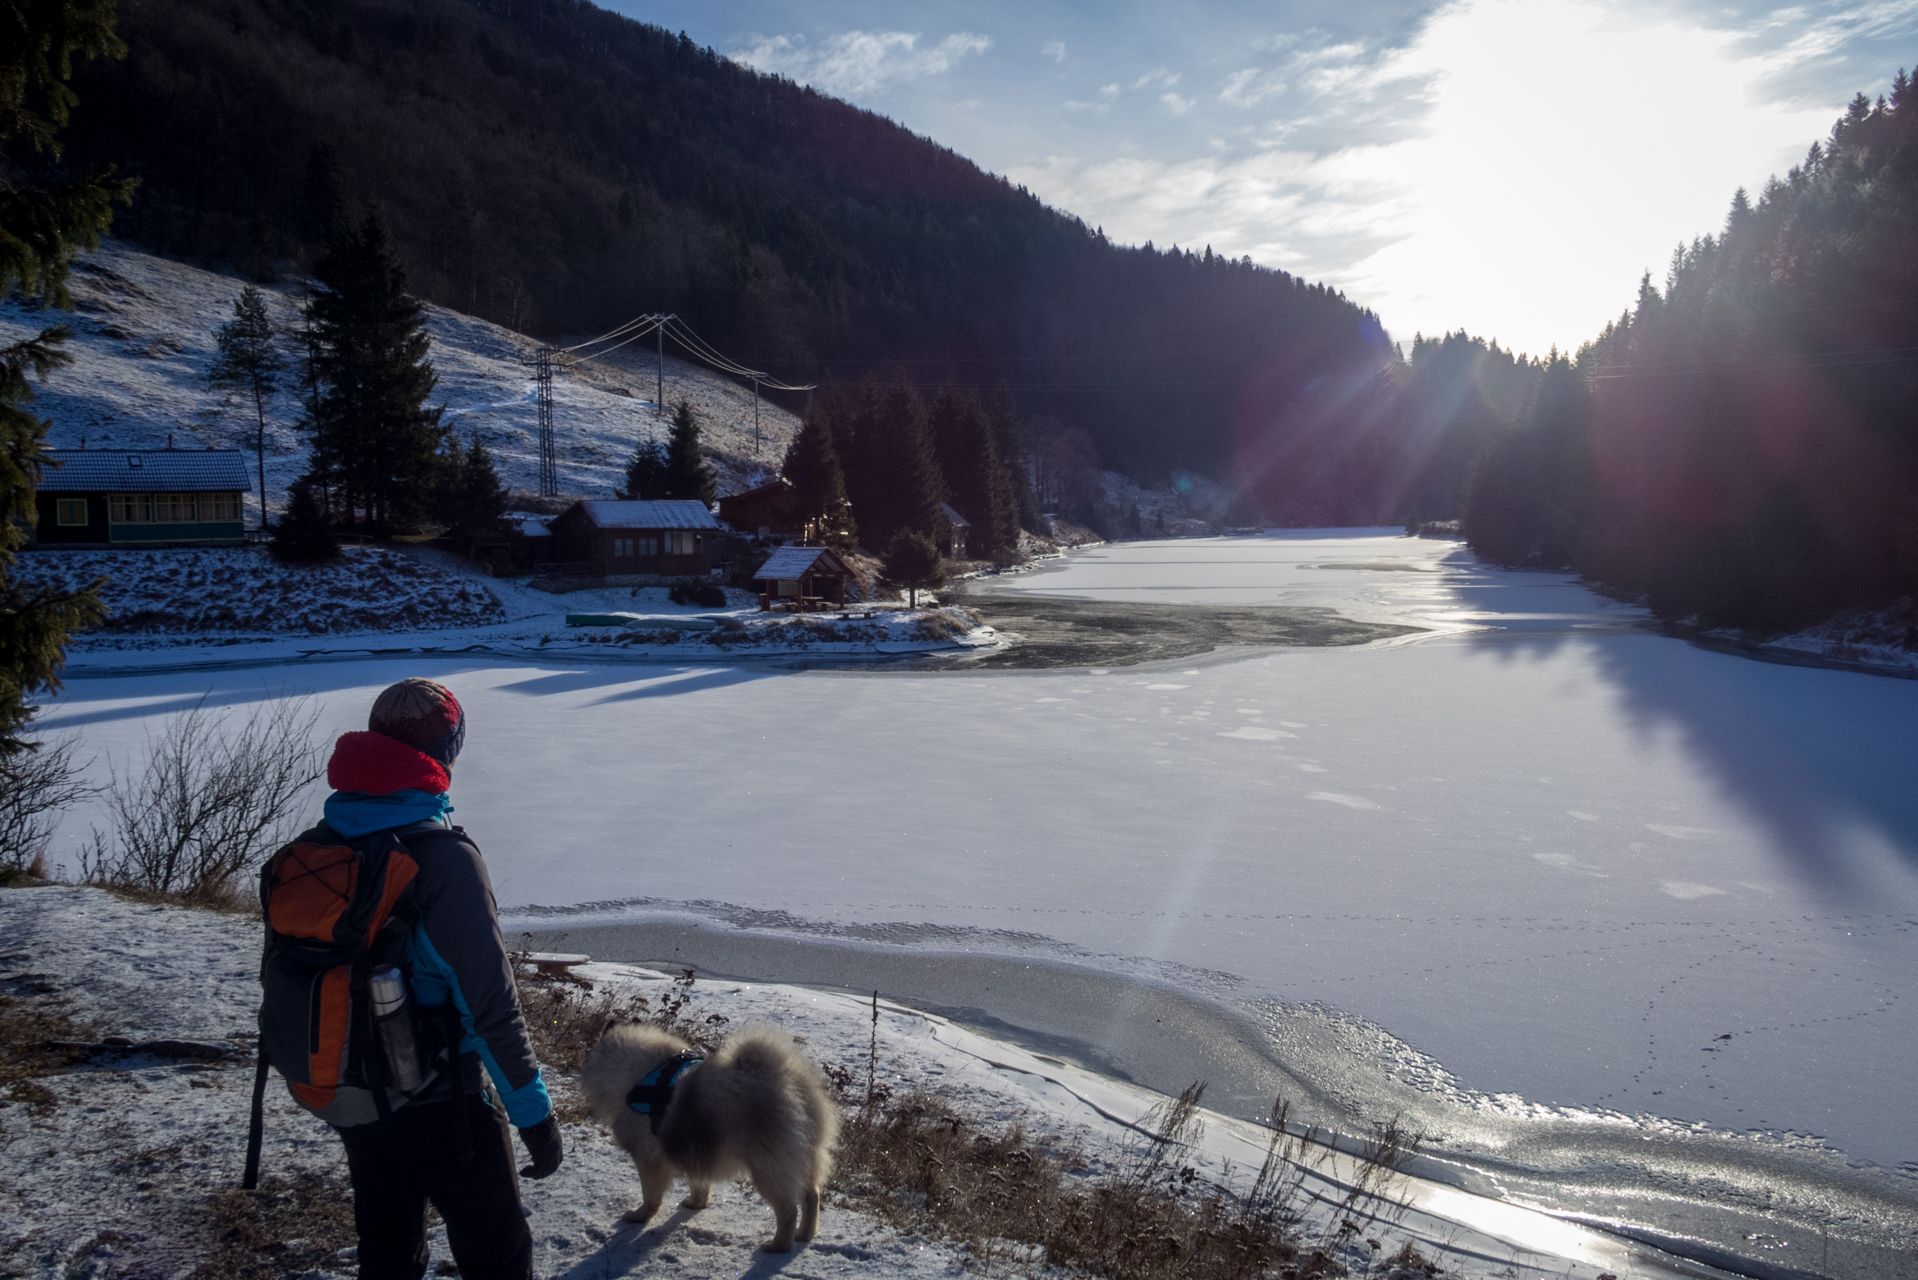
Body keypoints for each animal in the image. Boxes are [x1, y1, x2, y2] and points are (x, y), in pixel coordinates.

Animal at [579, 1020, 843, 1251]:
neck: (641, 1076)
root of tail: (791, 1083)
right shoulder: (694, 1150)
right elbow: (699, 1184)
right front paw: (696, 1204)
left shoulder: (648, 1158)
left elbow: (651, 1196)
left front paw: (639, 1216)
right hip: (806, 1157)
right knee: (811, 1197)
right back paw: (805, 1234)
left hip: (769, 1167)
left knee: (788, 1210)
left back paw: (777, 1246)